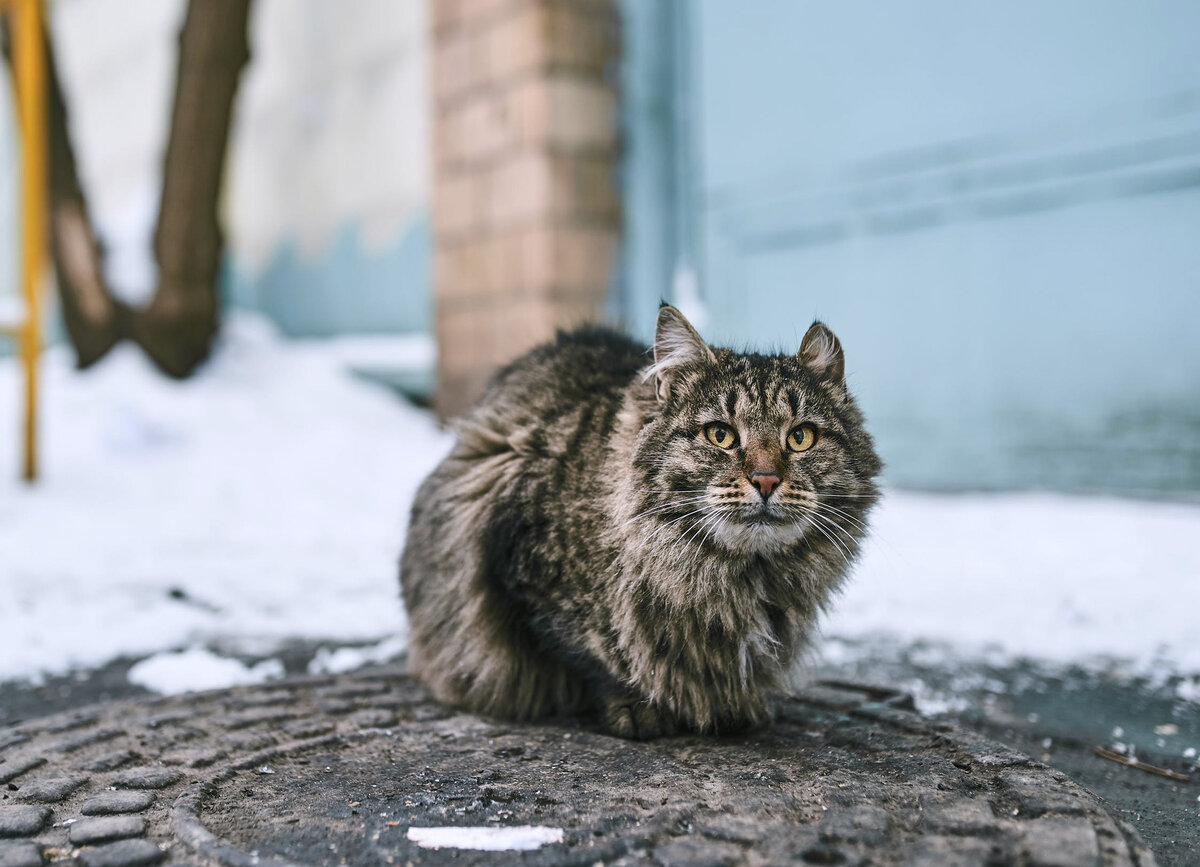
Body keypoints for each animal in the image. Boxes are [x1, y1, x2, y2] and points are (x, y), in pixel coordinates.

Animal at [399, 304, 881, 738]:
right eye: (720, 435)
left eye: (800, 438)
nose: (765, 480)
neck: (743, 577)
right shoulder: (521, 570)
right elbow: (595, 656)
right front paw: (639, 708)